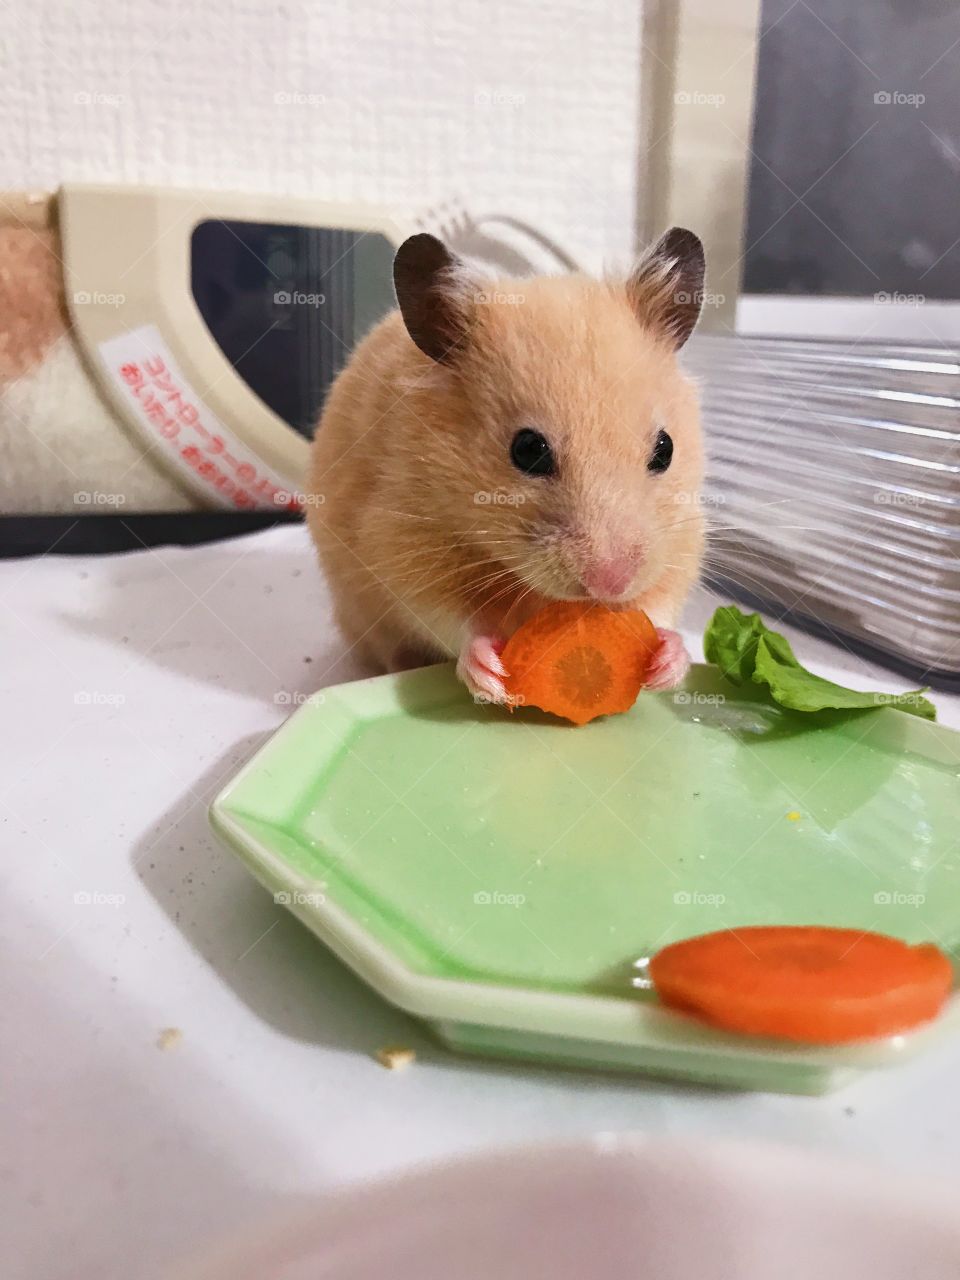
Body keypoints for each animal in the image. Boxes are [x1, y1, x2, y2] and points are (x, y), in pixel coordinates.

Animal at [306, 227, 707, 704]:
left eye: (665, 449)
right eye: (528, 450)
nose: (610, 584)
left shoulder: (683, 537)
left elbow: (661, 605)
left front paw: (668, 662)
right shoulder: (401, 540)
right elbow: (453, 618)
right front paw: (491, 675)